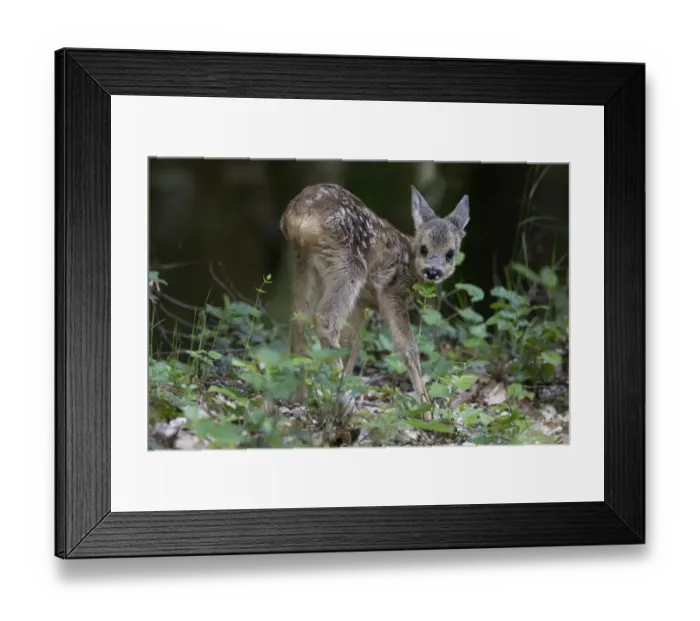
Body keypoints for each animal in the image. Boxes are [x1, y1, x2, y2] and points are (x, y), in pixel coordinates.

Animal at [280, 183, 471, 420]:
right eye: (424, 248)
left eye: (450, 253)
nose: (433, 271)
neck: (409, 264)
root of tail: (298, 212)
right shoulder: (392, 294)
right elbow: (409, 348)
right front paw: (427, 411)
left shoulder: (361, 304)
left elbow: (353, 344)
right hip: (348, 263)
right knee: (325, 318)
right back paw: (344, 404)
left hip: (305, 262)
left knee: (299, 319)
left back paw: (302, 399)